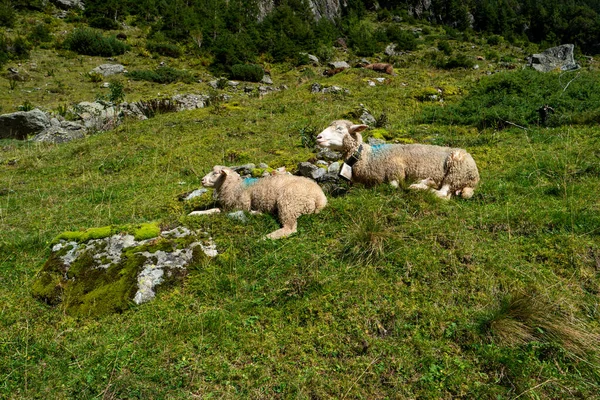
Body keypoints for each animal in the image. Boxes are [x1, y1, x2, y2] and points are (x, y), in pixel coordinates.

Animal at [316, 119, 480, 199]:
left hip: (456, 171)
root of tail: (475, 178)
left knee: (443, 193)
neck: (368, 157)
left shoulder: (395, 171)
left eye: (339, 129)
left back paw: (421, 186)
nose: (318, 137)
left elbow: (393, 186)